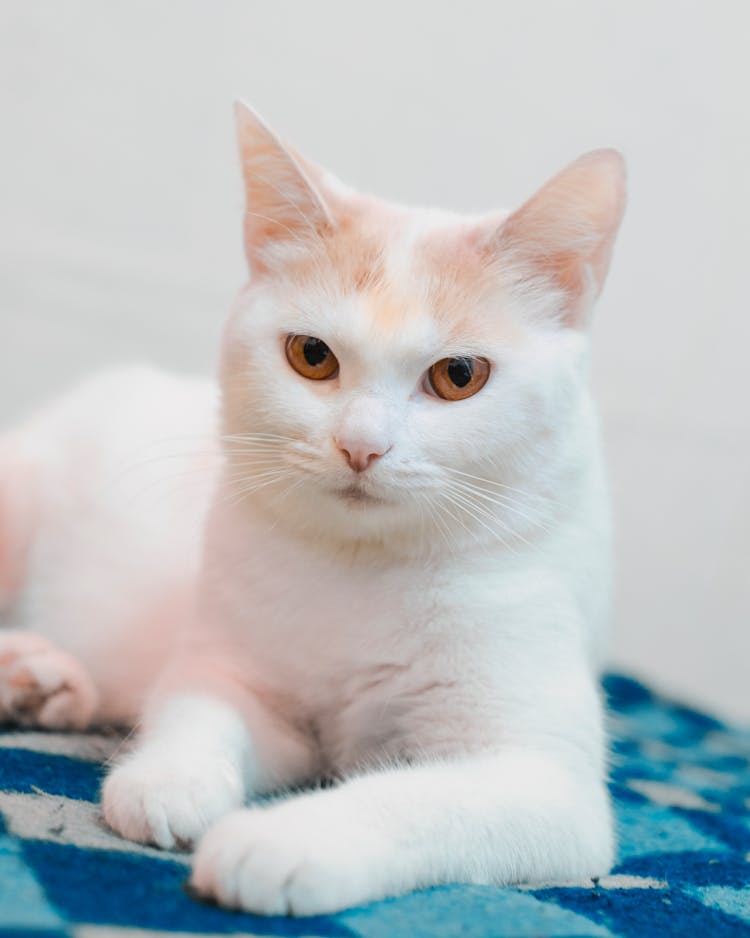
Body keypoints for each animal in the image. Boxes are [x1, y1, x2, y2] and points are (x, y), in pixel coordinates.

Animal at [0, 104, 624, 916]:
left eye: (459, 375)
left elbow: (411, 800)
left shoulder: (544, 779)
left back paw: (43, 684)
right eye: (312, 356)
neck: (365, 568)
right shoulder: (231, 671)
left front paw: (276, 844)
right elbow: (196, 711)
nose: (361, 446)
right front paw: (169, 781)